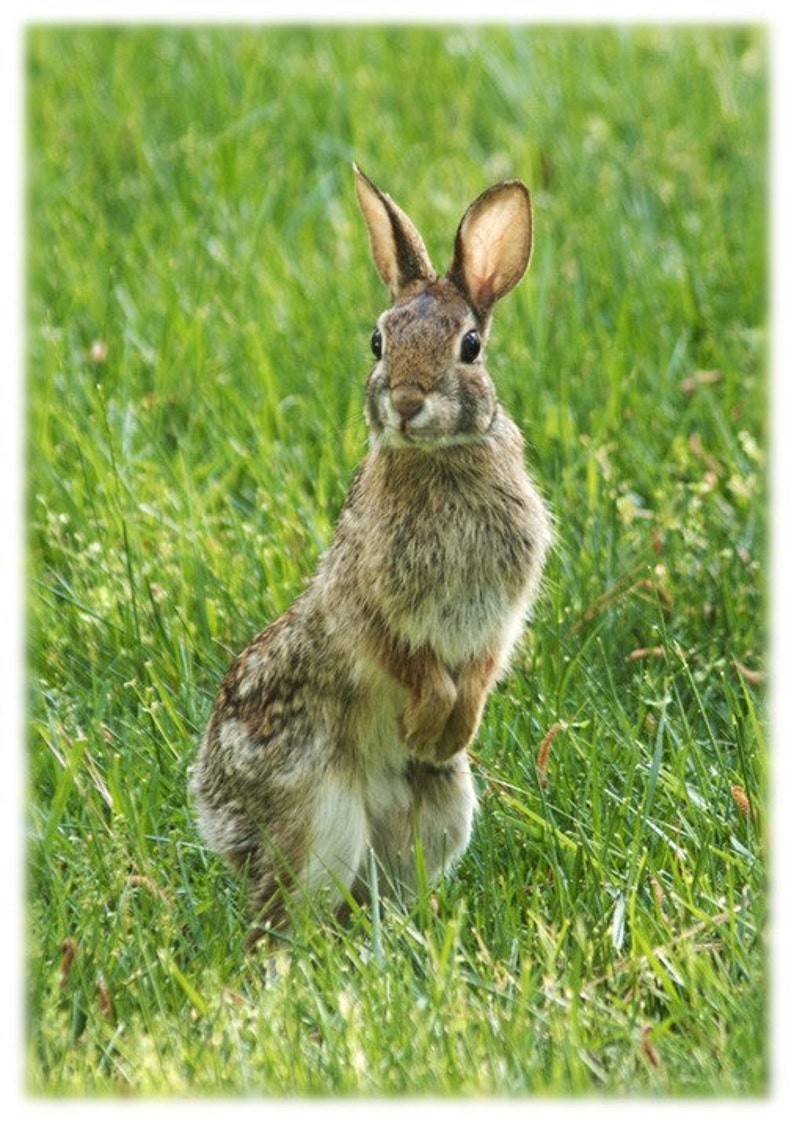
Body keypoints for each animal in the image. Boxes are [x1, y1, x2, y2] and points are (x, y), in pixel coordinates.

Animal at [190, 162, 551, 942]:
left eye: (470, 347)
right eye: (378, 342)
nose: (409, 402)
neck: (441, 460)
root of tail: (215, 809)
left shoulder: (500, 612)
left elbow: (479, 670)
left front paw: (451, 729)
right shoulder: (369, 601)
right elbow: (409, 660)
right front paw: (425, 721)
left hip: (443, 806)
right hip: (318, 819)